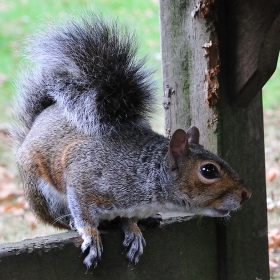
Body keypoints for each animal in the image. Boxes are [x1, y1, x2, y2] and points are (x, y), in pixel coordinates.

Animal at [11, 13, 252, 270]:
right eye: (208, 171)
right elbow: (83, 210)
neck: (144, 174)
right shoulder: (84, 175)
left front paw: (133, 228)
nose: (246, 194)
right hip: (43, 194)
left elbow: (128, 219)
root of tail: (34, 125)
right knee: (59, 219)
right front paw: (90, 235)